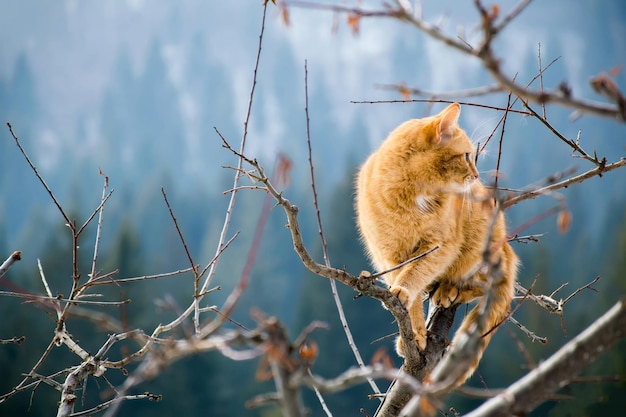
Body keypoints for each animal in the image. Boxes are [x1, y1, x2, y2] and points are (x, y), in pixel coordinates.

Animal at [356, 102, 516, 382]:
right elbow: (410, 291)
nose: (476, 176)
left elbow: (414, 274)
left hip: (480, 242)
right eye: (466, 156)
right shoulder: (390, 255)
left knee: (488, 283)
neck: (412, 195)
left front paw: (403, 290)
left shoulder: (439, 247)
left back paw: (450, 290)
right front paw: (414, 333)